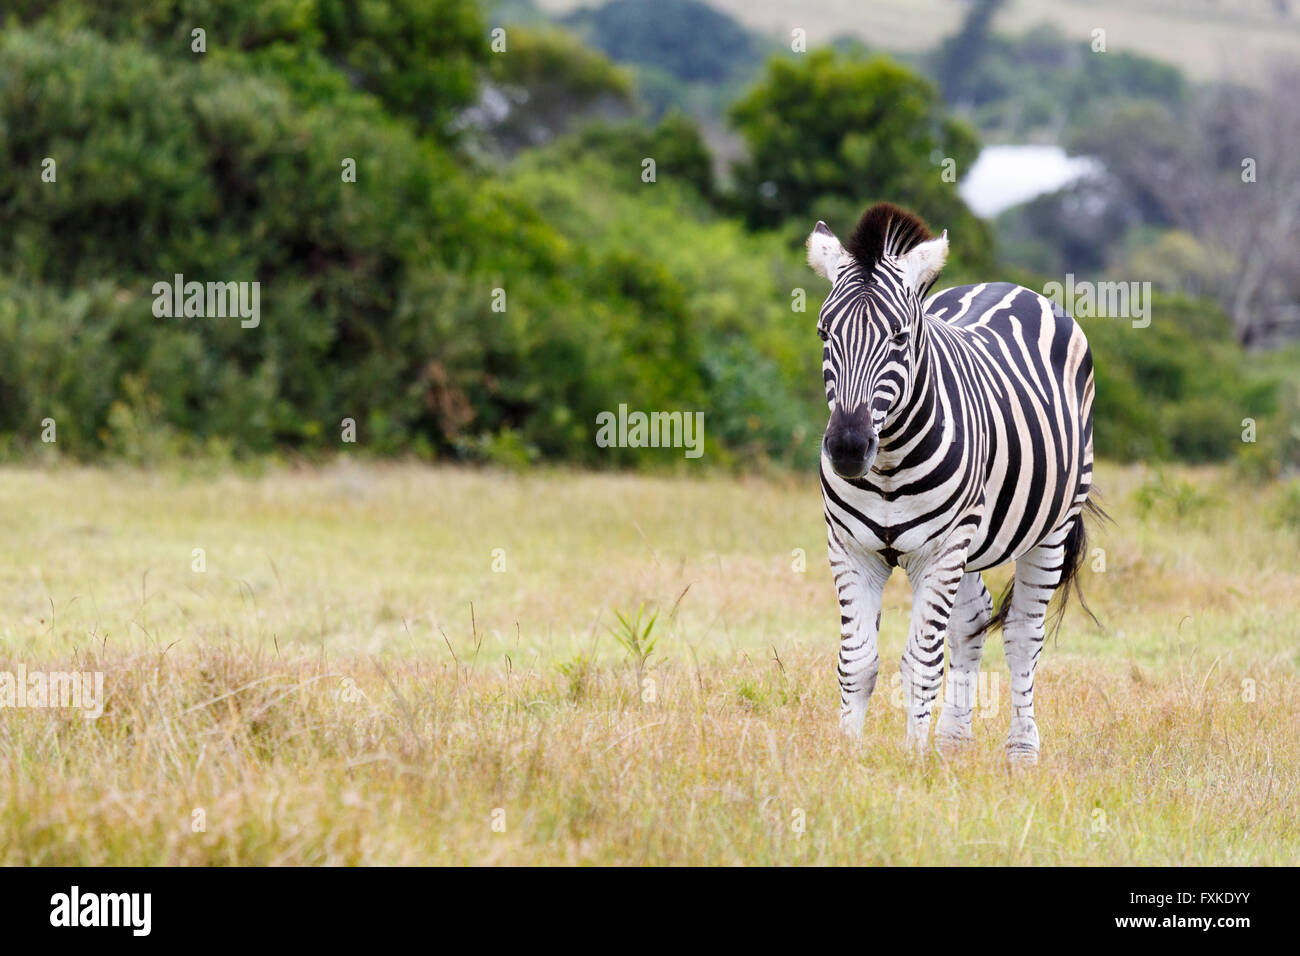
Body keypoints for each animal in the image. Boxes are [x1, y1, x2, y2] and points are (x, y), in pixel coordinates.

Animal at [806, 204, 1102, 770]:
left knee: (1021, 633)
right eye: (824, 334)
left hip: (1050, 529)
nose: (848, 448)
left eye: (900, 337)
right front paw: (847, 757)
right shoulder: (852, 549)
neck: (888, 464)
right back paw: (952, 741)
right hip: (972, 541)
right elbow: (857, 662)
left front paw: (912, 762)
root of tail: (1009, 286)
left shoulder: (940, 551)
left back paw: (1021, 751)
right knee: (972, 621)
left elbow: (920, 663)